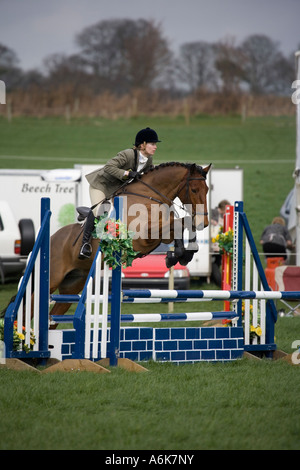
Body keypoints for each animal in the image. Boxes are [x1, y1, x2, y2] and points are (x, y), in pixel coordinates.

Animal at [48, 163, 211, 322]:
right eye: (194, 190)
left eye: (207, 190)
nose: (204, 223)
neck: (150, 196)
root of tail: (53, 237)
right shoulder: (143, 236)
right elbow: (182, 222)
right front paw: (180, 254)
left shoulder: (164, 235)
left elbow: (181, 224)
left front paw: (179, 255)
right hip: (54, 279)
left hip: (73, 284)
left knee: (53, 316)